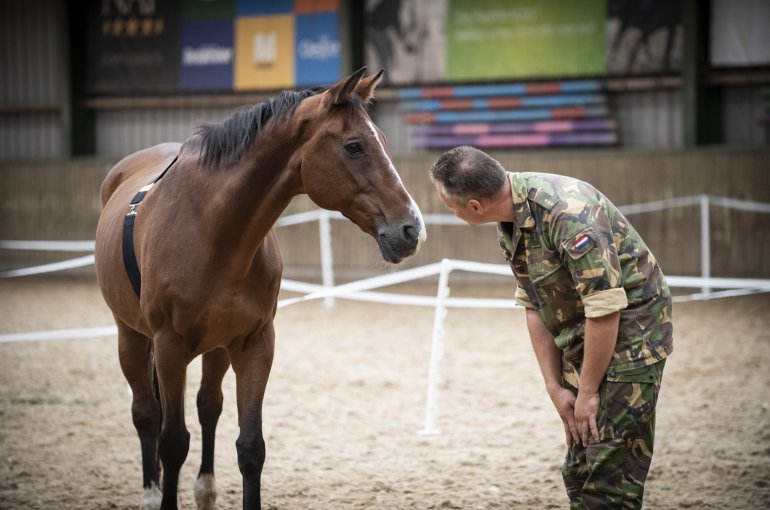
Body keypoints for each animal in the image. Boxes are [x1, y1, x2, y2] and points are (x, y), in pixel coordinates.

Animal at [94, 68, 426, 510]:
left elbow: (250, 447)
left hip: (216, 348)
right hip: (130, 336)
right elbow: (173, 442)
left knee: (208, 406)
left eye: (384, 143)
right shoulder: (169, 347)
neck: (210, 229)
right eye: (355, 146)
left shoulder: (256, 344)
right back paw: (150, 493)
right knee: (146, 413)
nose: (411, 229)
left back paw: (205, 490)